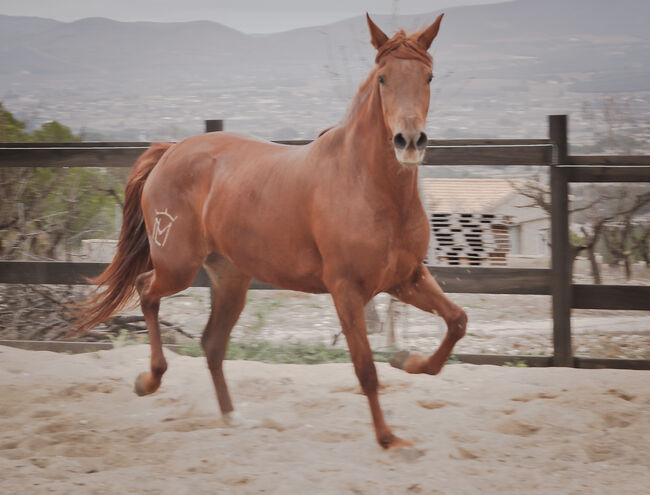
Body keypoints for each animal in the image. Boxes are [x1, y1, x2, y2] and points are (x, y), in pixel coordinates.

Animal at [76, 13, 466, 452]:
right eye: (383, 78)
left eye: (428, 76)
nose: (409, 142)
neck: (367, 185)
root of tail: (172, 150)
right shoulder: (346, 290)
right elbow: (365, 368)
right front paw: (389, 440)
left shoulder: (406, 278)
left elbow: (457, 321)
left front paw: (407, 361)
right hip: (177, 267)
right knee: (146, 290)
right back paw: (149, 381)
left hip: (230, 277)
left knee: (211, 343)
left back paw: (231, 417)